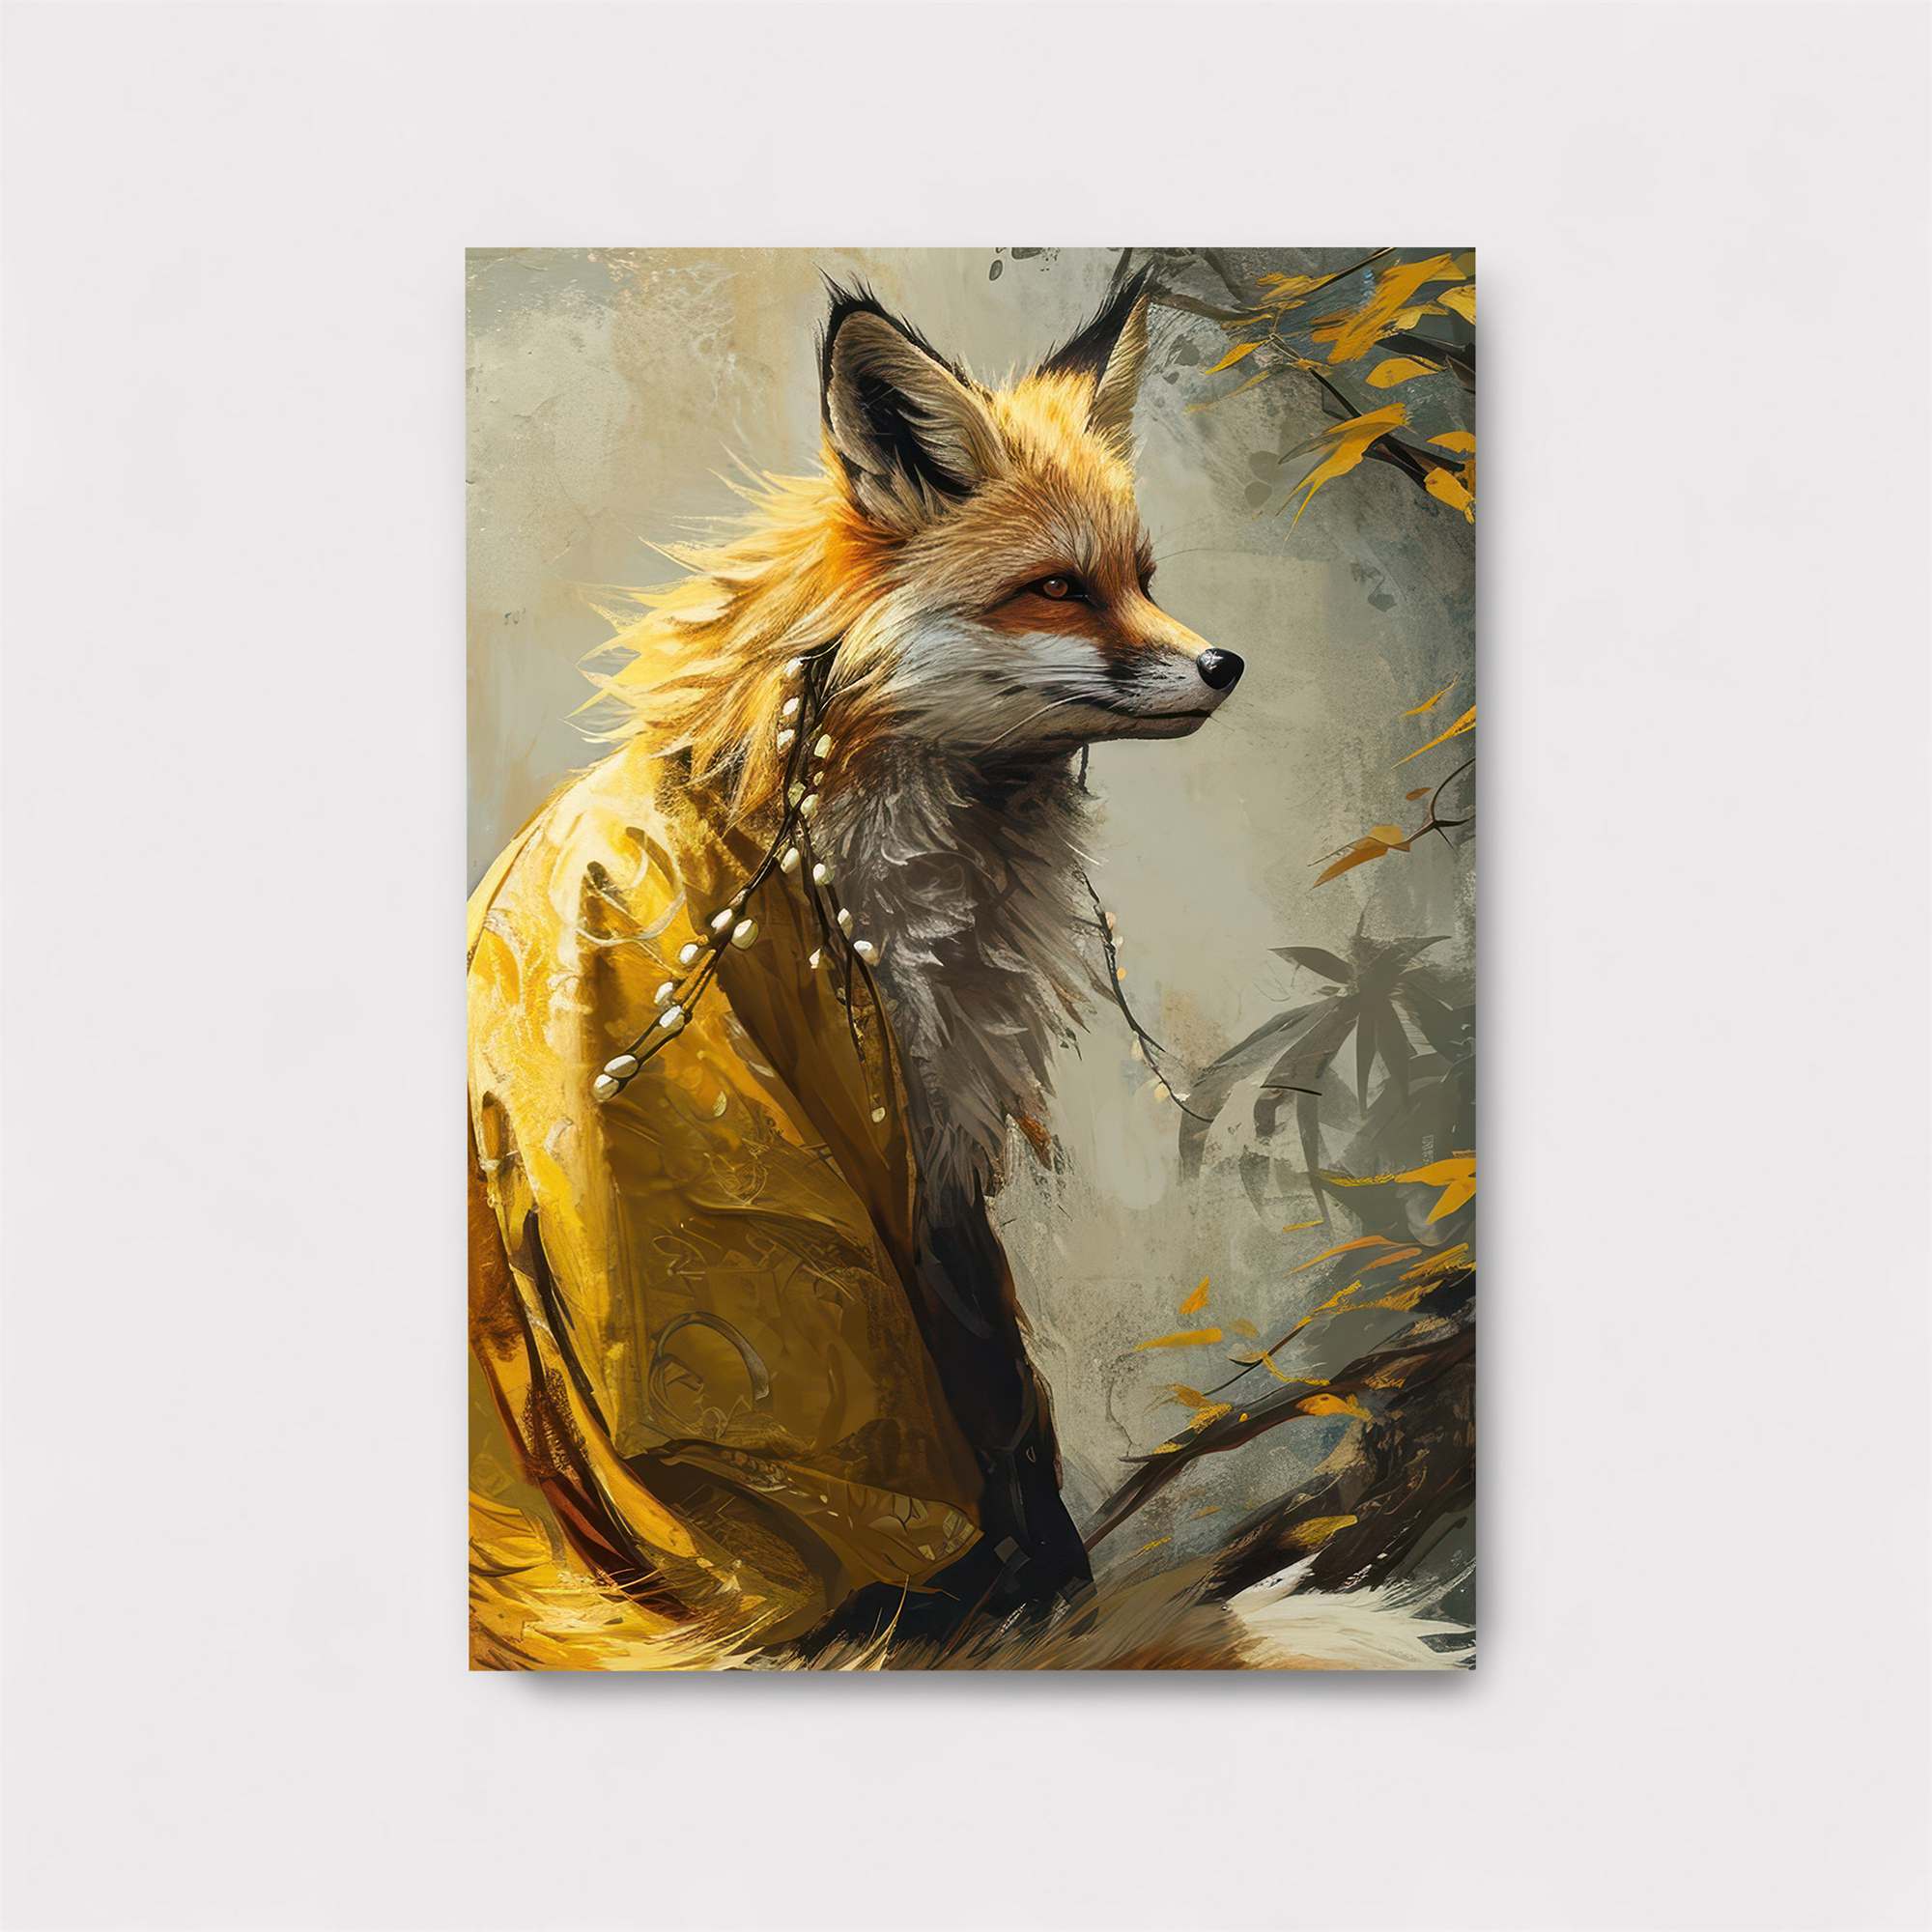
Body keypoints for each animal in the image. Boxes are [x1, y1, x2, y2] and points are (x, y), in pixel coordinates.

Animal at [467, 267, 1256, 1662]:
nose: (1225, 664)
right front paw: (1039, 1598)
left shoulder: (943, 1153)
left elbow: (1008, 1402)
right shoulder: (880, 1136)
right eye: (1058, 588)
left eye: (1142, 576)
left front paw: (1053, 1593)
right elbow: (987, 1410)